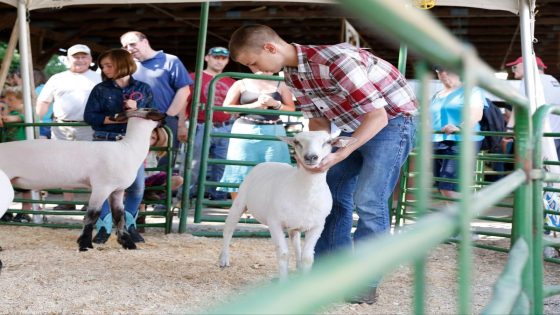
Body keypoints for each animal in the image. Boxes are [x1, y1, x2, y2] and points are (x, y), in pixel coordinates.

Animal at [0, 108, 166, 252]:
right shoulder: (101, 187)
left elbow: (119, 216)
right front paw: (84, 245)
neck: (128, 148)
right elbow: (92, 215)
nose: (165, 117)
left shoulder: (118, 190)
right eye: (152, 110)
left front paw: (128, 244)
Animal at [219, 131, 354, 282]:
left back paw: (299, 266)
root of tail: (267, 162)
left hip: (295, 224)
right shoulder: (275, 222)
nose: (311, 157)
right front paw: (283, 282)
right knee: (228, 230)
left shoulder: (318, 226)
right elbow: (283, 255)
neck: (306, 193)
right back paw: (224, 259)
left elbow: (307, 257)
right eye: (296, 142)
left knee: (296, 242)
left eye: (328, 142)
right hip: (239, 201)